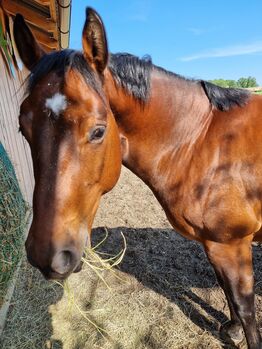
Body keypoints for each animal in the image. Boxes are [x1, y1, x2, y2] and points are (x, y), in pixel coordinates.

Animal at [13, 6, 262, 346]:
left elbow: (245, 305)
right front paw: (233, 328)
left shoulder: (233, 244)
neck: (201, 140)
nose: (46, 255)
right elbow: (226, 290)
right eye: (22, 128)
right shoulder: (216, 245)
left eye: (98, 131)